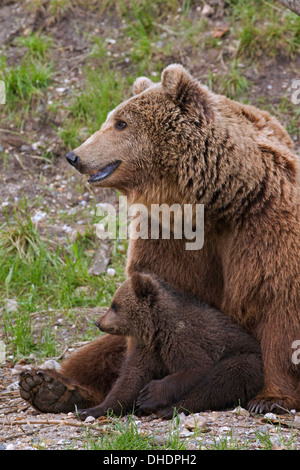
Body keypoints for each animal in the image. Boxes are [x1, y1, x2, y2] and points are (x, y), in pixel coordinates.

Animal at [76, 270, 264, 420]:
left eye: (115, 305)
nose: (98, 322)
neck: (156, 327)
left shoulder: (183, 338)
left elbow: (194, 368)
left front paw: (149, 395)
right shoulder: (148, 348)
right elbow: (130, 377)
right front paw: (91, 410)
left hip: (249, 358)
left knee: (223, 379)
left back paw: (168, 409)